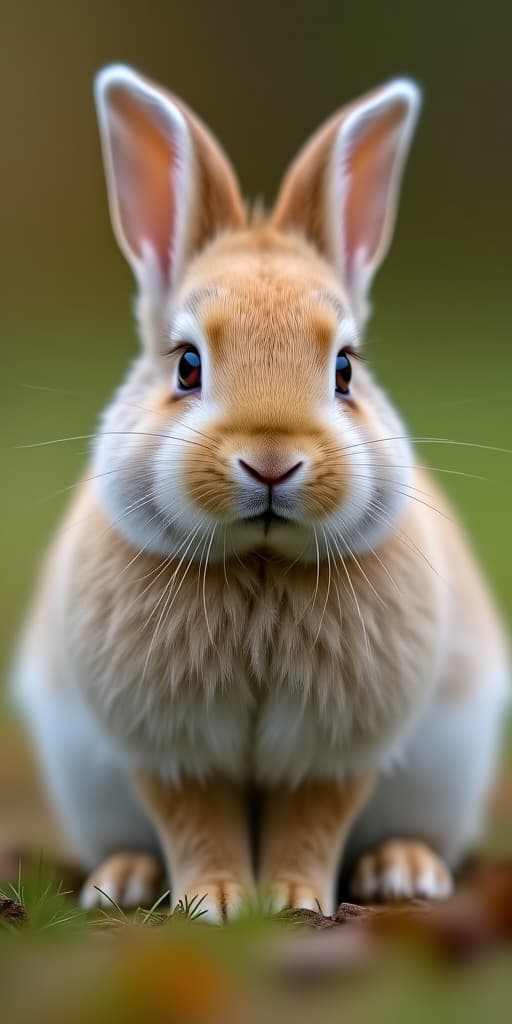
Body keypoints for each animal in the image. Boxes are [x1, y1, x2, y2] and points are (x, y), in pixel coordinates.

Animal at [14, 64, 507, 917]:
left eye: (345, 369)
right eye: (186, 364)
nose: (272, 462)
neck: (261, 563)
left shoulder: (334, 747)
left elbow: (312, 820)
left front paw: (291, 900)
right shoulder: (171, 746)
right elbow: (194, 819)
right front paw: (214, 901)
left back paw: (404, 870)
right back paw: (122, 880)